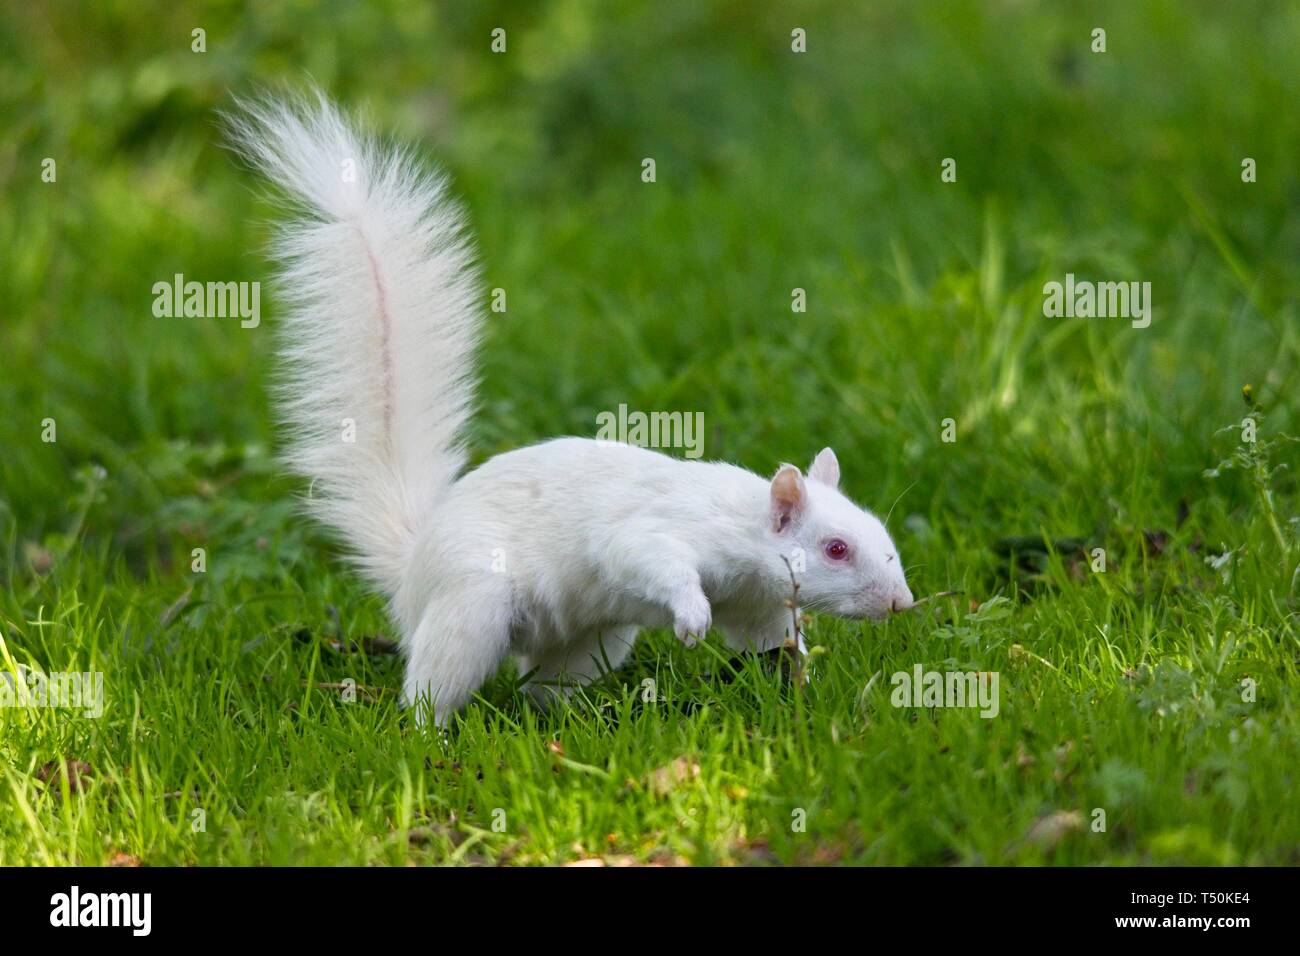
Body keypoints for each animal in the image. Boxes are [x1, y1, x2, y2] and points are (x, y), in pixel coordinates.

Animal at [227, 91, 913, 726]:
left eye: (876, 533)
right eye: (835, 549)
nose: (902, 603)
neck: (742, 527)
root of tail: (412, 566)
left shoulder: (756, 601)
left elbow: (767, 638)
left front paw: (799, 674)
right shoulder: (656, 533)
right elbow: (648, 557)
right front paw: (693, 618)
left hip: (590, 638)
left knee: (544, 683)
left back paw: (572, 720)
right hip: (471, 605)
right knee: (435, 682)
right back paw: (432, 735)